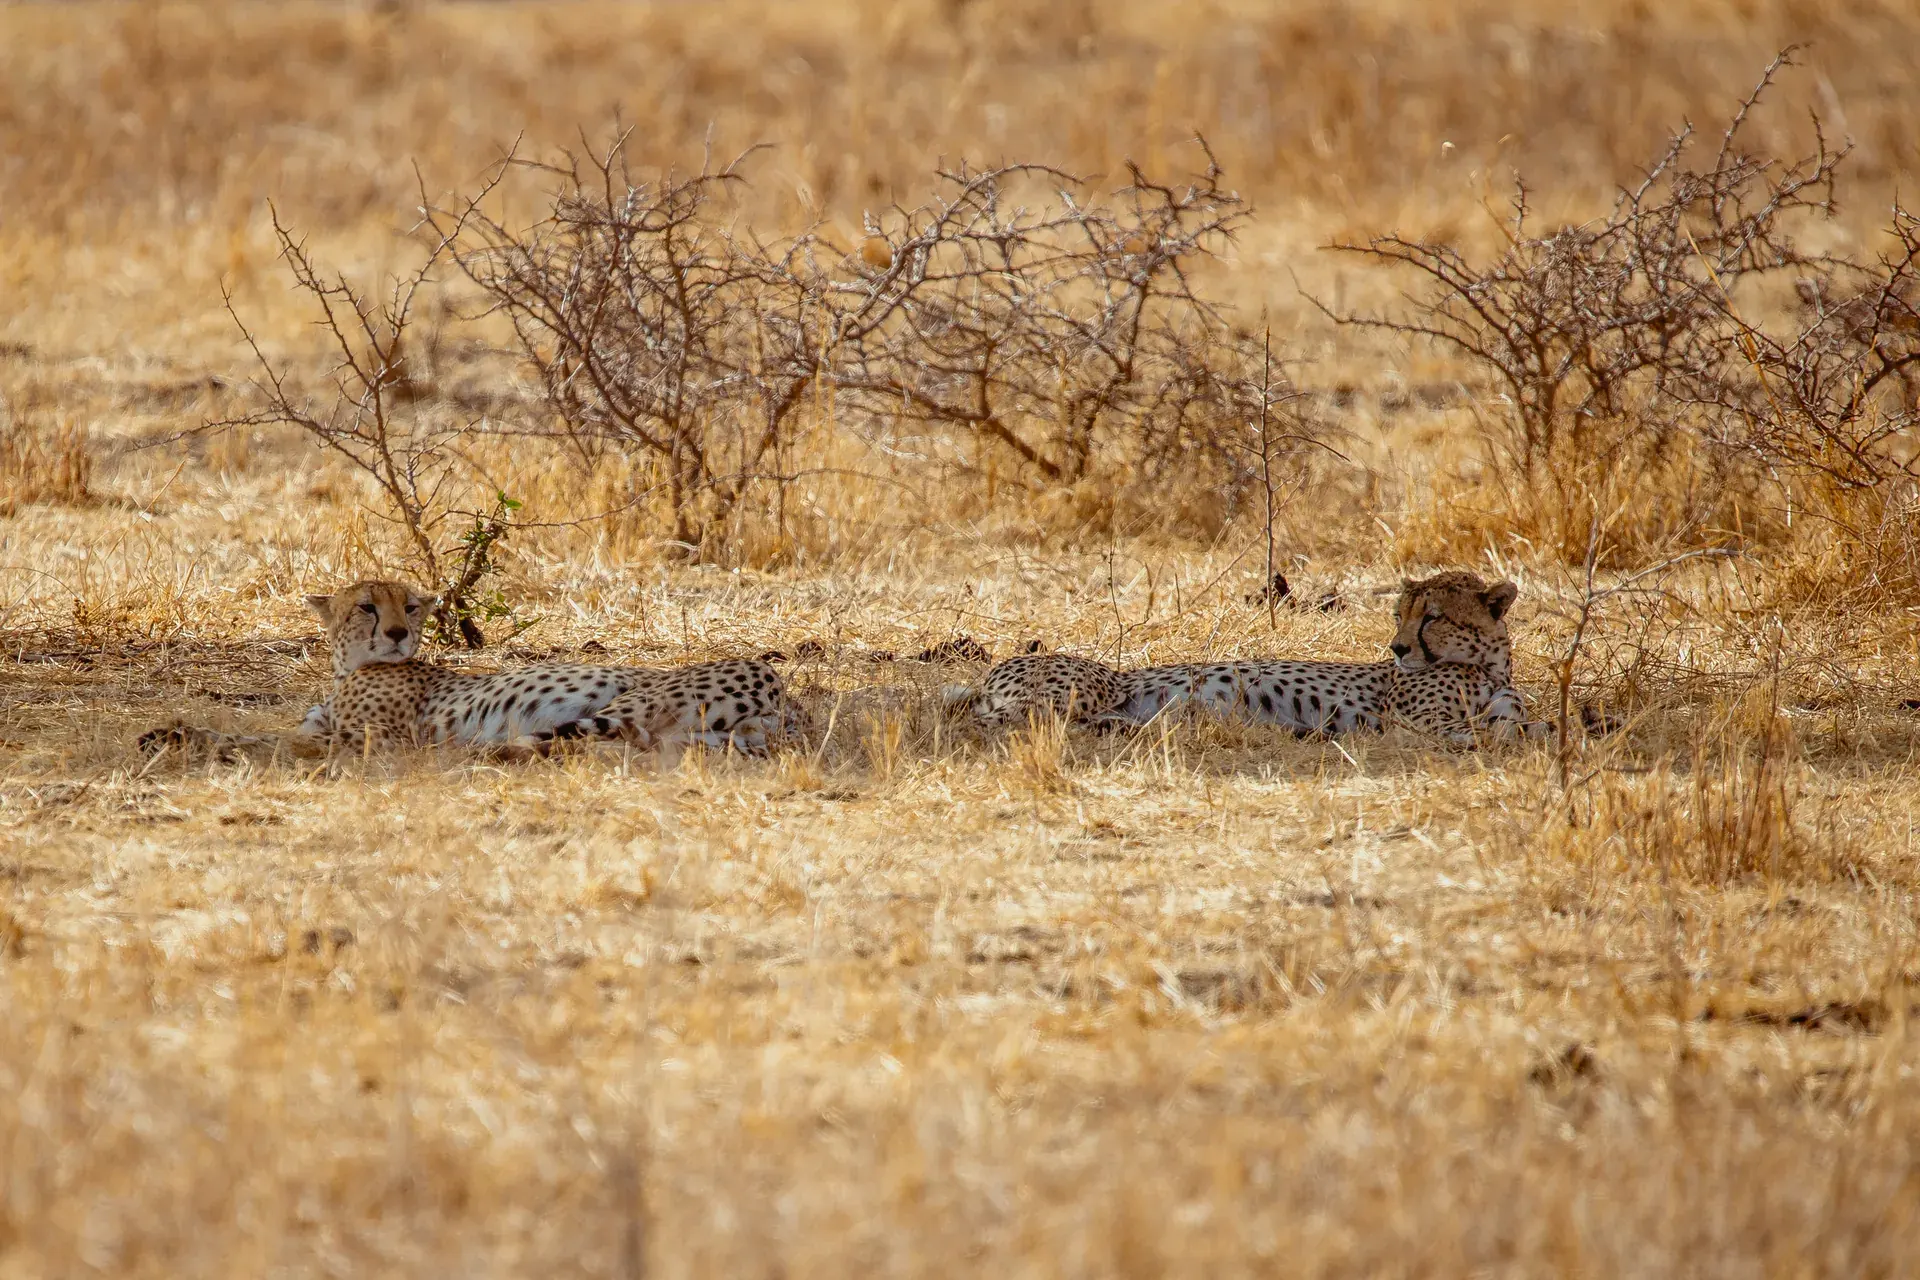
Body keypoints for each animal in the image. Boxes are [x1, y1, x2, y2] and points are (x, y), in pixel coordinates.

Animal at [137, 579, 809, 761]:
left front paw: (178, 736)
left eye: (410, 606)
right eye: (367, 606)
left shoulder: (375, 740)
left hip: (629, 700)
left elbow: (266, 740)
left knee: (576, 741)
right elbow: (282, 734)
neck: (346, 669)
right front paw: (172, 733)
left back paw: (482, 752)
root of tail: (779, 688)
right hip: (680, 736)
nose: (398, 633)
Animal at [943, 571, 1551, 746]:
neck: (1489, 665)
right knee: (1006, 721)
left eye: (1432, 617)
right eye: (1402, 614)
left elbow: (1527, 725)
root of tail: (991, 671)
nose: (1398, 649)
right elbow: (1488, 731)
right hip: (1075, 690)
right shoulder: (1418, 720)